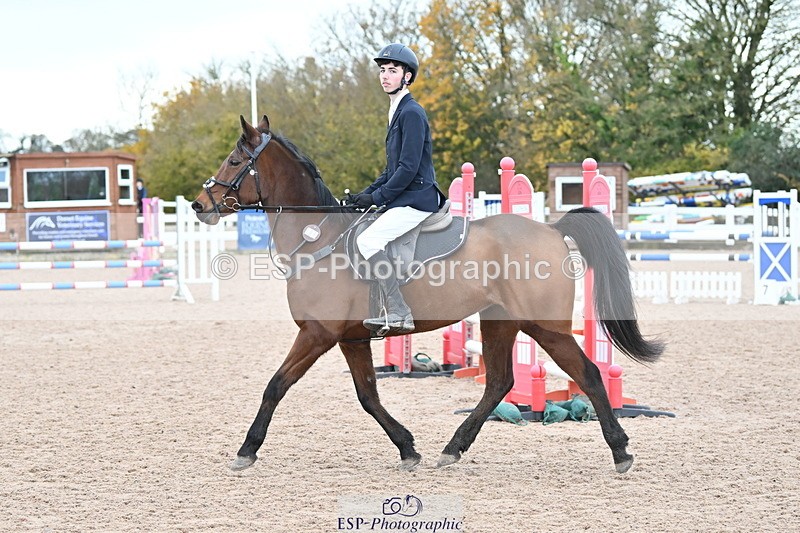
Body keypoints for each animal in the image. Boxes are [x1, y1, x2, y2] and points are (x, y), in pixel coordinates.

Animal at [190, 115, 663, 474]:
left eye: (235, 160)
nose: (199, 205)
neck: (317, 239)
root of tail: (551, 228)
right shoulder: (351, 338)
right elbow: (368, 396)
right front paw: (407, 447)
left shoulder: (317, 334)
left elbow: (275, 386)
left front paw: (246, 450)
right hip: (499, 322)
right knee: (499, 383)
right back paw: (453, 448)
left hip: (546, 328)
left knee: (588, 375)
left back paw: (620, 450)